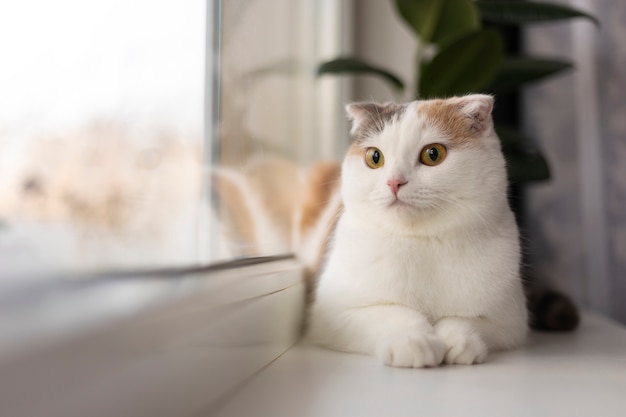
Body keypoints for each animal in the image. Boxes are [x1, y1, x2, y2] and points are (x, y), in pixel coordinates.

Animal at [302, 95, 528, 368]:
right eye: (374, 157)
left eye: (433, 154)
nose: (394, 182)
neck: (423, 241)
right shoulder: (333, 315)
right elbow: (392, 313)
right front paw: (413, 341)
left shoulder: (510, 320)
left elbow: (465, 320)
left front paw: (458, 341)